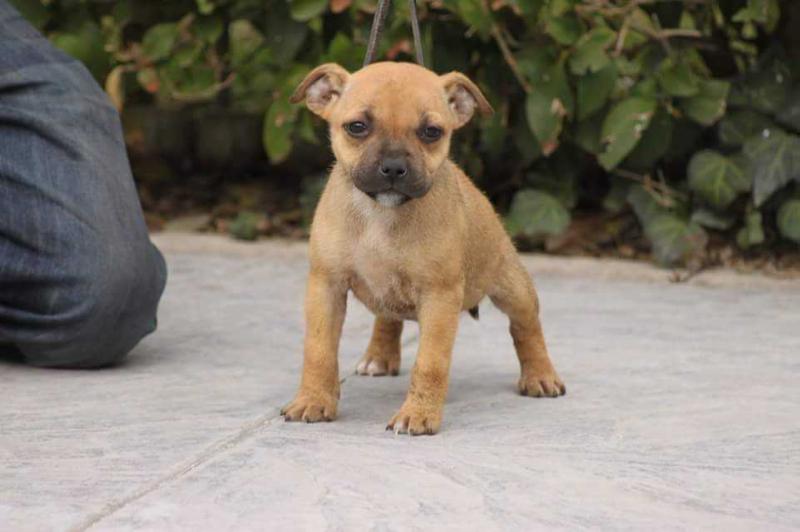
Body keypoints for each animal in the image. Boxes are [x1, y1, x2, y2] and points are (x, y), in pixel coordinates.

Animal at [284, 61, 564, 436]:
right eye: (357, 127)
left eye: (432, 132)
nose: (393, 167)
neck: (380, 213)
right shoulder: (326, 286)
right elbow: (318, 350)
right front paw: (313, 400)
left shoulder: (439, 296)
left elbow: (431, 362)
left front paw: (418, 415)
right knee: (387, 315)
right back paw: (379, 357)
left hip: (512, 287)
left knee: (526, 327)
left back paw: (540, 376)